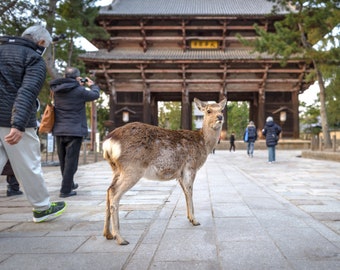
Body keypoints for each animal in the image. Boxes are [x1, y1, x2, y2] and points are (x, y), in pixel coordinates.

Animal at [102, 97, 227, 245]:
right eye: (208, 110)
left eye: (221, 109)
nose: (220, 117)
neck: (204, 145)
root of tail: (108, 142)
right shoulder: (190, 166)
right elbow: (190, 191)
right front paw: (195, 220)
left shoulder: (180, 173)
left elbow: (185, 193)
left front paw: (189, 217)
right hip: (132, 168)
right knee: (114, 193)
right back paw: (120, 238)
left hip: (116, 169)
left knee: (108, 190)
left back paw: (107, 234)